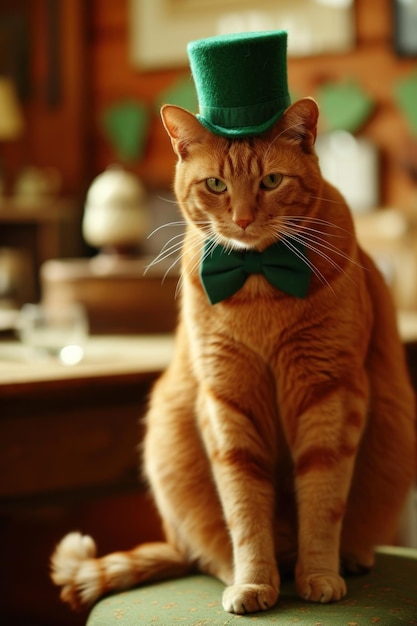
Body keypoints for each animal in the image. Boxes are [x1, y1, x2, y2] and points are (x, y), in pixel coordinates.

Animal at [50, 98, 414, 616]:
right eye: (216, 185)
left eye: (272, 181)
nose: (242, 218)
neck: (258, 274)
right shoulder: (227, 401)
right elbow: (243, 509)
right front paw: (253, 582)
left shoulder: (330, 393)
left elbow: (323, 500)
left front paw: (321, 574)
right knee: (207, 552)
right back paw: (236, 571)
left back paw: (349, 558)